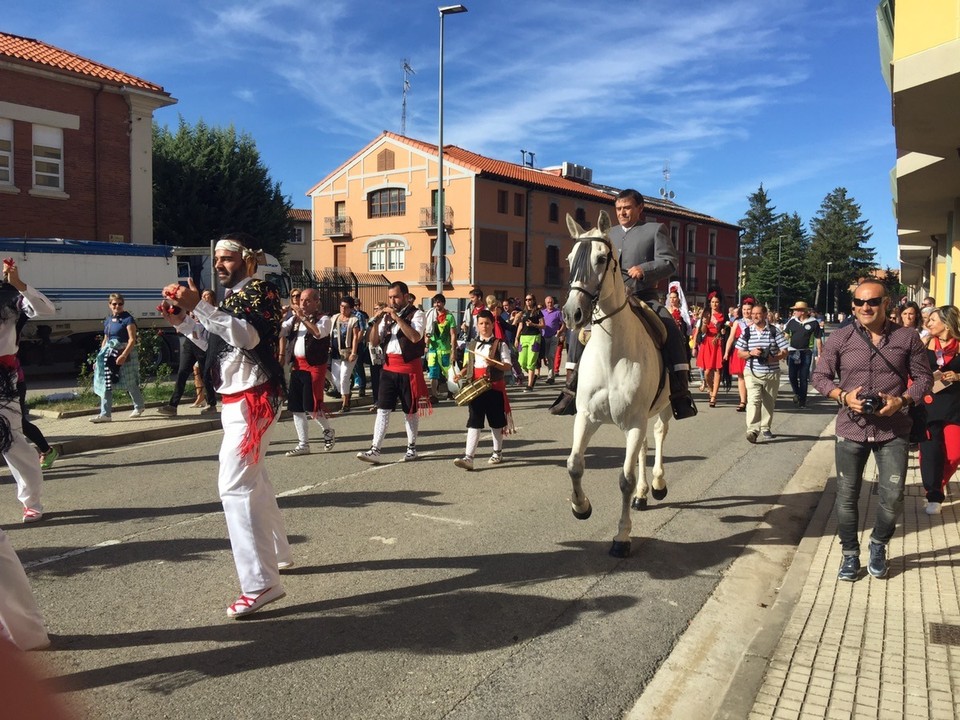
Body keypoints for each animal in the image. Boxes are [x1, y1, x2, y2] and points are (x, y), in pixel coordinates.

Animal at [564, 211, 668, 560]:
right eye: (570, 259)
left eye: (600, 258)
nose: (571, 313)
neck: (612, 354)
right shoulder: (586, 417)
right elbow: (574, 465)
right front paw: (580, 506)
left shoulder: (634, 421)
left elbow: (624, 478)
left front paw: (622, 536)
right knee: (645, 447)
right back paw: (643, 494)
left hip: (664, 408)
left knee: (659, 437)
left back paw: (658, 484)